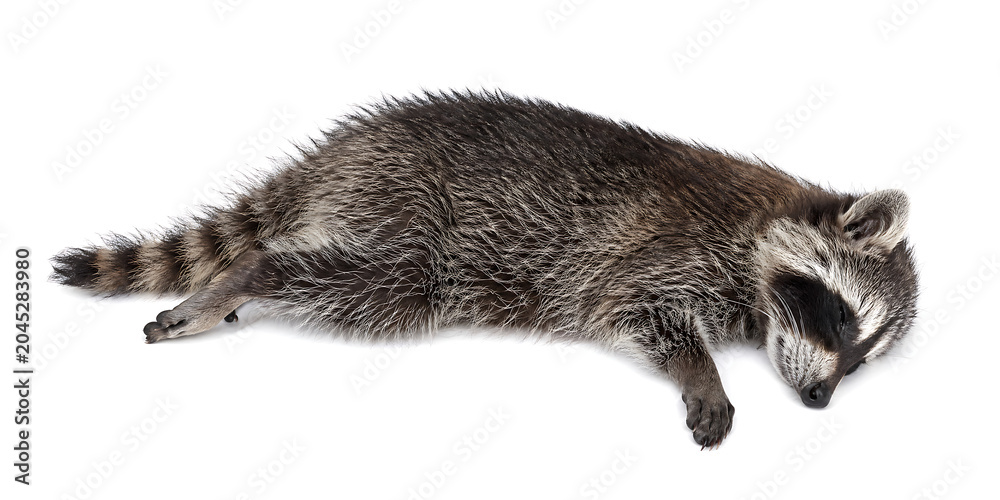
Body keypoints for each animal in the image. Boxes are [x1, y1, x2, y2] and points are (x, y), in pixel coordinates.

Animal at [51, 91, 918, 448]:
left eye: (865, 358)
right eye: (841, 316)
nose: (819, 399)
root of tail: (338, 153)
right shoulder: (667, 249)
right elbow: (636, 307)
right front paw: (701, 370)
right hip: (405, 207)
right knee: (349, 277)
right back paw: (248, 274)